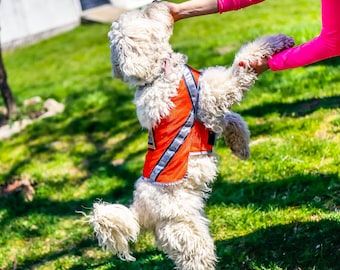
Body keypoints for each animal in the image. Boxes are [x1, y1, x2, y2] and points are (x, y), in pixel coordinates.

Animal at [84, 2, 292, 270]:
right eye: (144, 14)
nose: (156, 4)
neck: (158, 74)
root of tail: (139, 214)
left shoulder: (209, 112)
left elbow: (232, 119)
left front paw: (241, 147)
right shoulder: (211, 96)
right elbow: (239, 66)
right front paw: (272, 42)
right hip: (186, 233)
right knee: (196, 259)